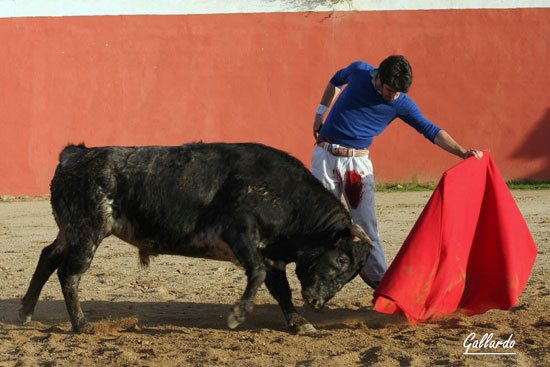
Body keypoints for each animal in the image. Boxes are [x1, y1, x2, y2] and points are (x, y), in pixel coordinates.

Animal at [19, 143, 374, 334]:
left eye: (352, 271)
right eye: (340, 258)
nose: (318, 302)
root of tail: (75, 155)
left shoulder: (272, 255)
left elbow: (281, 290)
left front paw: (300, 323)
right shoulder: (241, 234)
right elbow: (258, 274)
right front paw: (237, 316)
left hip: (70, 230)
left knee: (47, 257)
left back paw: (25, 313)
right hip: (87, 231)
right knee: (69, 273)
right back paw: (81, 325)